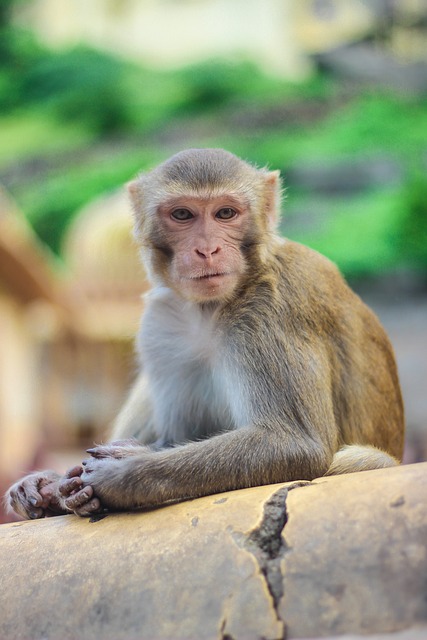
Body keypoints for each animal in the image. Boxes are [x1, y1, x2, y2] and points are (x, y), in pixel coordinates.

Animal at [5, 149, 404, 520]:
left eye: (225, 213)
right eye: (183, 215)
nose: (207, 249)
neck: (212, 308)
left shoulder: (271, 311)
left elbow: (293, 441)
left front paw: (123, 474)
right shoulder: (161, 323)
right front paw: (52, 484)